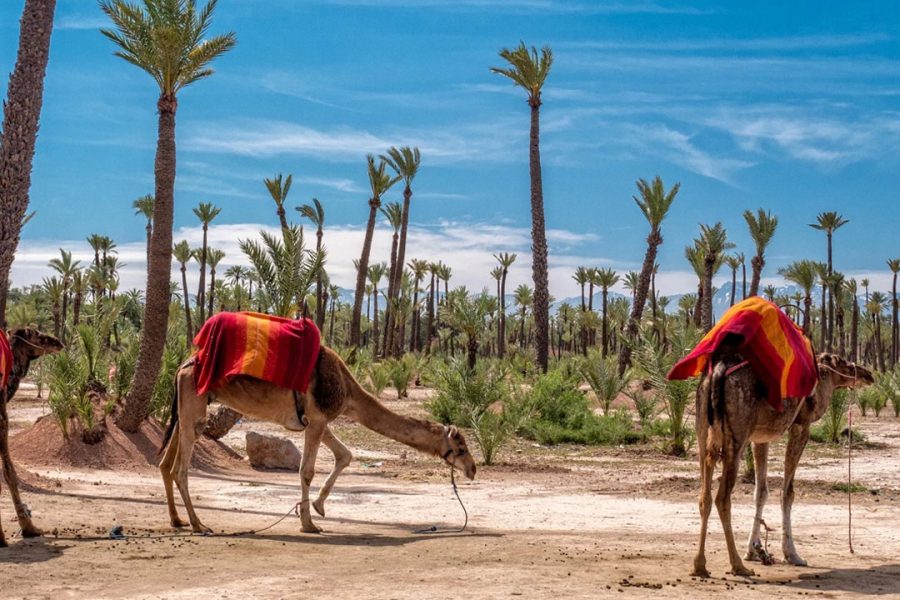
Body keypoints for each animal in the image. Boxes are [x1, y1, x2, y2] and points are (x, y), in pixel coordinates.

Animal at [160, 346, 478, 536]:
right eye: (461, 447)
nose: (473, 469)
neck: (348, 390)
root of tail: (182, 366)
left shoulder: (318, 421)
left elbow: (345, 455)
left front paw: (318, 507)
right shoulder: (318, 417)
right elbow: (307, 470)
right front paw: (308, 523)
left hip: (186, 408)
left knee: (165, 463)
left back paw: (177, 520)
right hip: (195, 406)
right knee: (180, 468)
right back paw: (198, 524)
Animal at [692, 350, 876, 580]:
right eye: (844, 363)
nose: (868, 374)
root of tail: (716, 373)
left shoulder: (759, 437)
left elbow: (761, 492)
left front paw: (754, 549)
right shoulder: (801, 426)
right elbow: (787, 492)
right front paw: (792, 554)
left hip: (703, 431)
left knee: (704, 497)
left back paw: (700, 565)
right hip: (736, 436)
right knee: (722, 498)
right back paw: (737, 566)